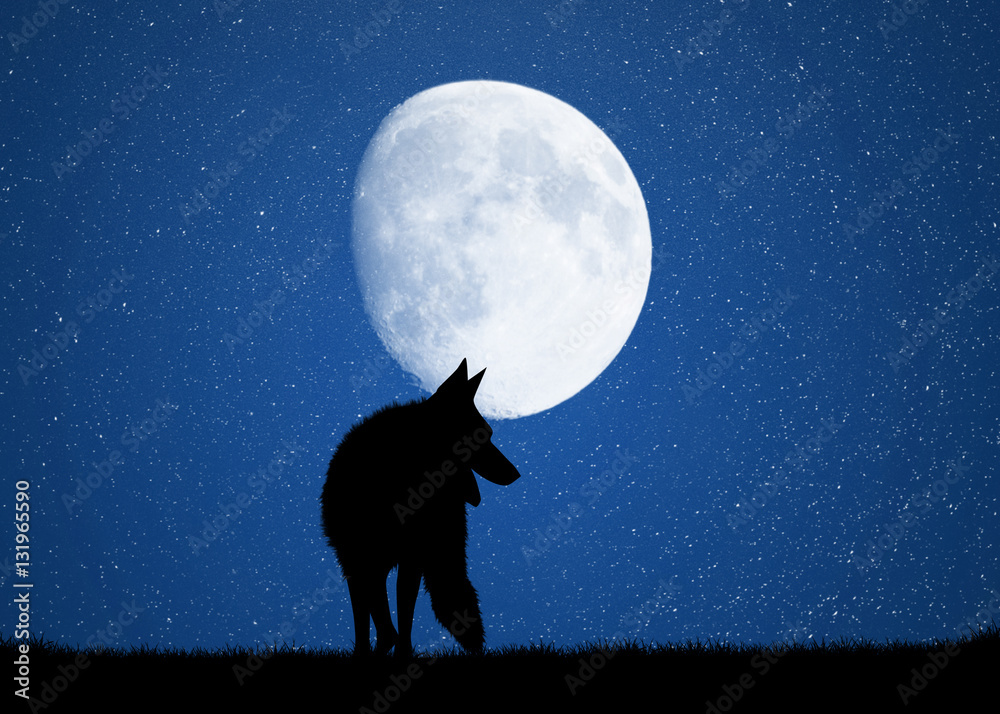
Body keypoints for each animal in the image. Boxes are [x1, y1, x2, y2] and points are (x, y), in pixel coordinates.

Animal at [321, 359, 521, 656]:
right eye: (483, 436)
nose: (516, 474)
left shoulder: (410, 558)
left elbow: (402, 615)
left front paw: (402, 655)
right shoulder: (359, 558)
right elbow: (371, 619)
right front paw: (372, 654)